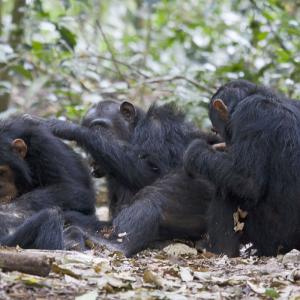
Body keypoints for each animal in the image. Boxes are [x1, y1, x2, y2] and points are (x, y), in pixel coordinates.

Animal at [28, 101, 219, 255]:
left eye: (99, 127)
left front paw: (66, 127)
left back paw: (115, 246)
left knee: (155, 195)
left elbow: (154, 171)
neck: (135, 133)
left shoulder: (158, 129)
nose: (91, 159)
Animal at [184, 79, 300, 255]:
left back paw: (220, 249)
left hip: (275, 237)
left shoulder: (249, 115)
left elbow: (247, 180)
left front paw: (195, 151)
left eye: (215, 129)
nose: (226, 142)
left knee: (226, 189)